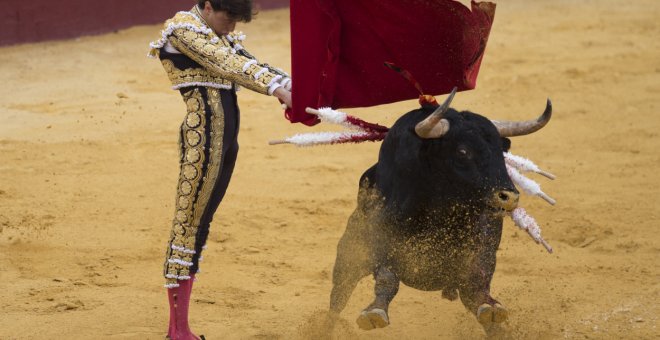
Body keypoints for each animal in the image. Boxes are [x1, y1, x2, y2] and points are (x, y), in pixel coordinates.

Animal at [328, 89, 552, 334]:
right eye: (463, 151)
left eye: (501, 152)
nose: (509, 196)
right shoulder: (382, 242)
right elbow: (387, 279)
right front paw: (374, 313)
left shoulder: (481, 248)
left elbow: (478, 282)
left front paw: (491, 307)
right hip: (350, 252)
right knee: (338, 297)